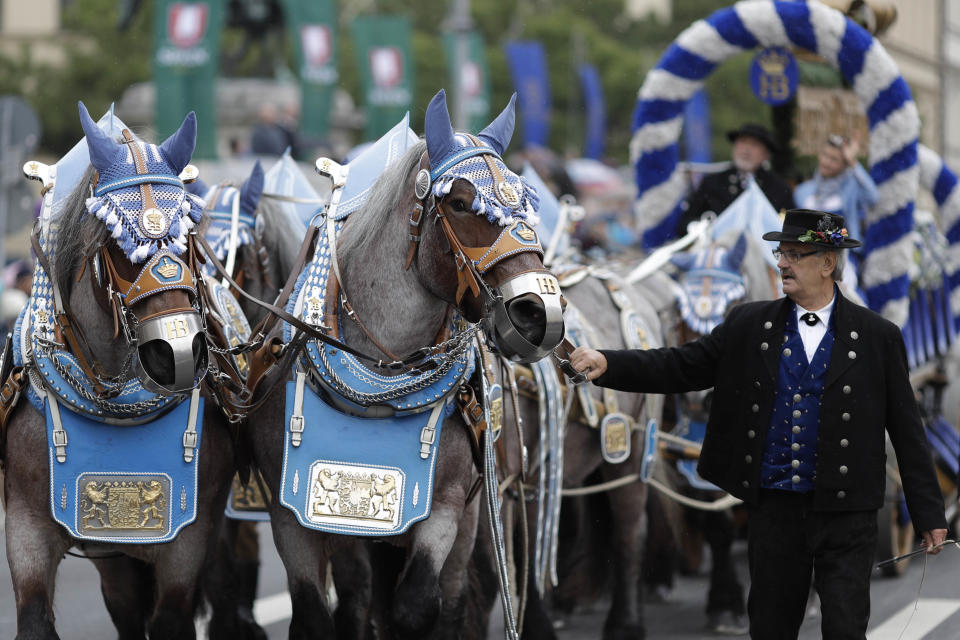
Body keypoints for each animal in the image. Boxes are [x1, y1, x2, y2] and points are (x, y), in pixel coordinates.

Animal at [2, 105, 235, 640]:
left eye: (187, 235)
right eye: (117, 239)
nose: (178, 351)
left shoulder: (185, 542)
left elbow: (171, 618)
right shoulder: (26, 527)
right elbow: (34, 617)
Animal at [240, 89, 568, 636]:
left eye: (525, 203)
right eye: (460, 203)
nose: (540, 313)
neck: (378, 383)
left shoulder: (445, 506)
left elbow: (417, 607)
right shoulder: (293, 517)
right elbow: (317, 615)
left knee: (453, 597)